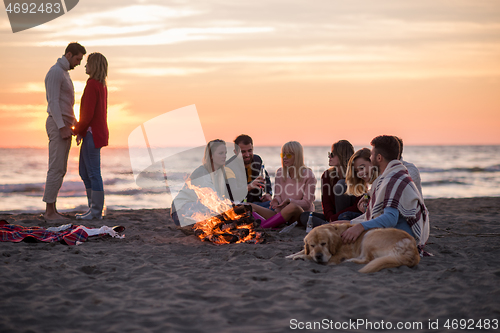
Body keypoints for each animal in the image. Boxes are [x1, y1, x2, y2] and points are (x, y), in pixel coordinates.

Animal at [286, 222, 422, 272]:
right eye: (312, 245)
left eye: (324, 243)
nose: (319, 256)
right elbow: (304, 251)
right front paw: (292, 255)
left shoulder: (334, 258)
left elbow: (311, 257)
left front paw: (302, 257)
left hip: (369, 235)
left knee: (368, 260)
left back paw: (350, 261)